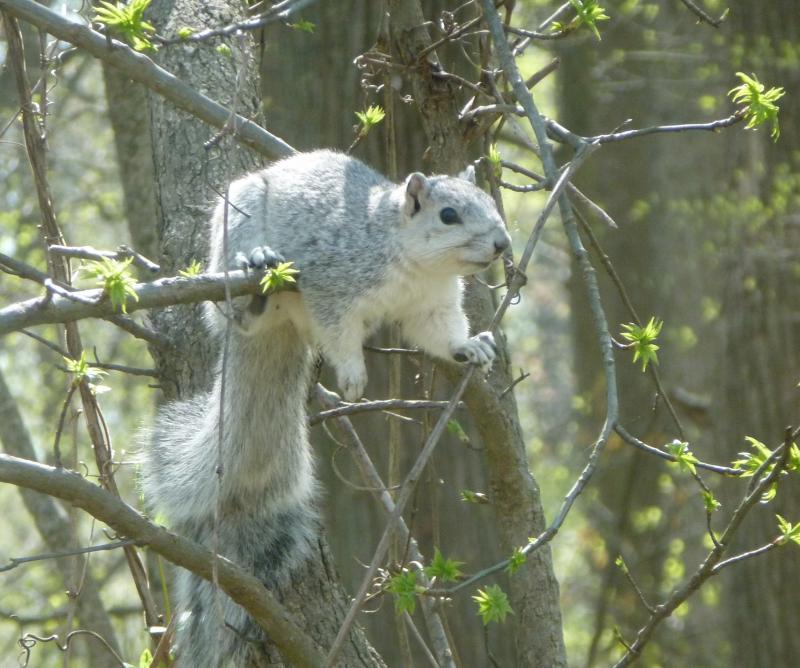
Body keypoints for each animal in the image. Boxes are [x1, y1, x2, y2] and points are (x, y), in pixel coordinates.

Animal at [141, 151, 510, 668]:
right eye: (449, 215)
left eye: (489, 203)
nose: (502, 244)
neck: (413, 262)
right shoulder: (332, 284)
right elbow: (339, 333)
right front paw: (353, 374)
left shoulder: (431, 304)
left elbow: (441, 334)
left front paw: (469, 347)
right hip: (234, 242)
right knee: (234, 313)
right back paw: (255, 281)